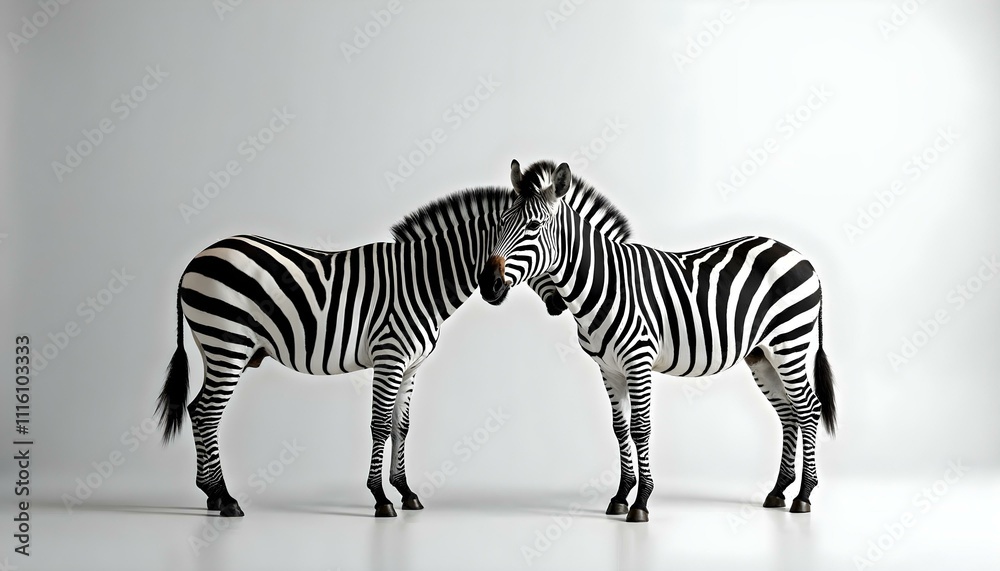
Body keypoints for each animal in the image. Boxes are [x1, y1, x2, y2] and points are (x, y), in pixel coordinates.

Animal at [154, 186, 625, 518]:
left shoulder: (412, 365)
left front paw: (407, 492)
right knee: (206, 412)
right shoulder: (390, 356)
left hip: (215, 346)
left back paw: (212, 495)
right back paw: (225, 498)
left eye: (534, 234)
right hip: (227, 343)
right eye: (510, 234)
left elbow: (403, 425)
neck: (425, 280)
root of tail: (196, 259)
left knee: (197, 409)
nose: (559, 305)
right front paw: (381, 499)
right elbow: (380, 425)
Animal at [478, 159, 837, 523]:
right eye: (502, 223)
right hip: (762, 355)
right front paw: (620, 496)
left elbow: (640, 428)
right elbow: (620, 428)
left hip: (789, 344)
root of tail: (800, 256)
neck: (605, 283)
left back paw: (803, 496)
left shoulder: (638, 360)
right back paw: (778, 491)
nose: (487, 283)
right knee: (788, 412)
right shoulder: (608, 369)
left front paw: (640, 502)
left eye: (534, 226)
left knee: (808, 408)